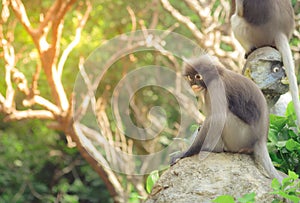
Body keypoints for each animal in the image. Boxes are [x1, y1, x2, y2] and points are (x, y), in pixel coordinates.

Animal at [172, 54, 284, 182]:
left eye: (198, 76)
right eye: (190, 78)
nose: (193, 85)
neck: (217, 75)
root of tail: (261, 139)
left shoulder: (216, 86)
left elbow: (217, 119)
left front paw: (185, 153)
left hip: (239, 136)